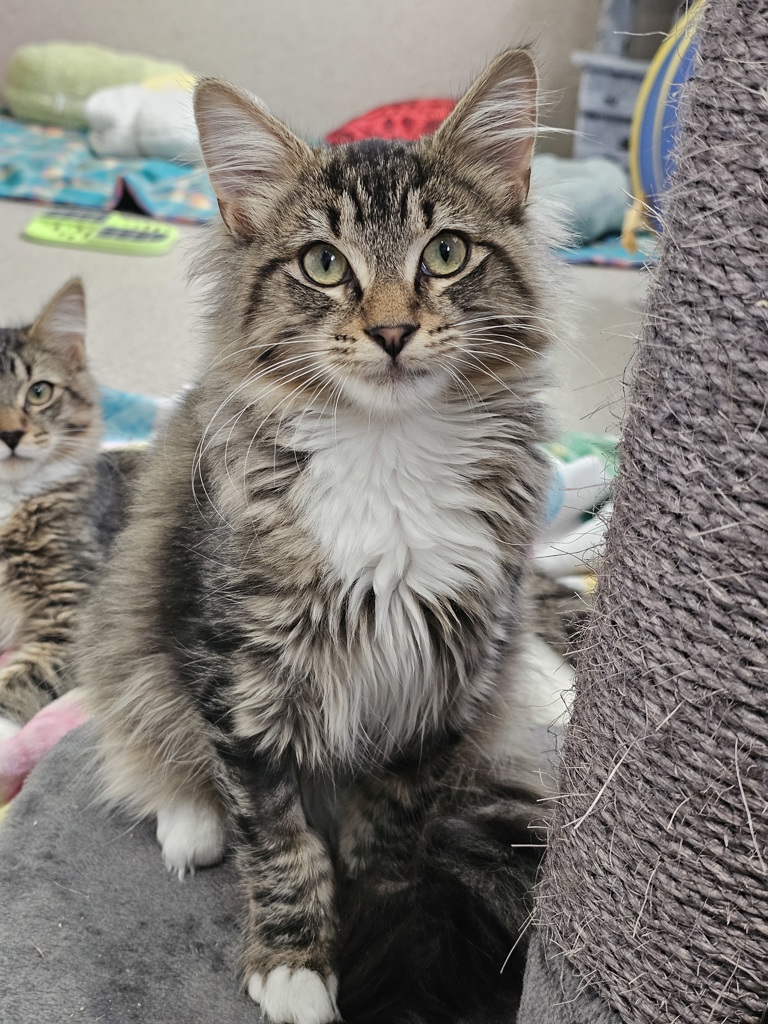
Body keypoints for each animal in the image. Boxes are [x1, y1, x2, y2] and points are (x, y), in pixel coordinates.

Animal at [78, 49, 571, 1024]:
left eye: (445, 254)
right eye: (323, 264)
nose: (391, 331)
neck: (388, 453)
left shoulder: (442, 679)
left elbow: (389, 830)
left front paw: (376, 911)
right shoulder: (239, 678)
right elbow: (276, 838)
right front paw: (295, 964)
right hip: (130, 639)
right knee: (149, 740)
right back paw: (189, 825)